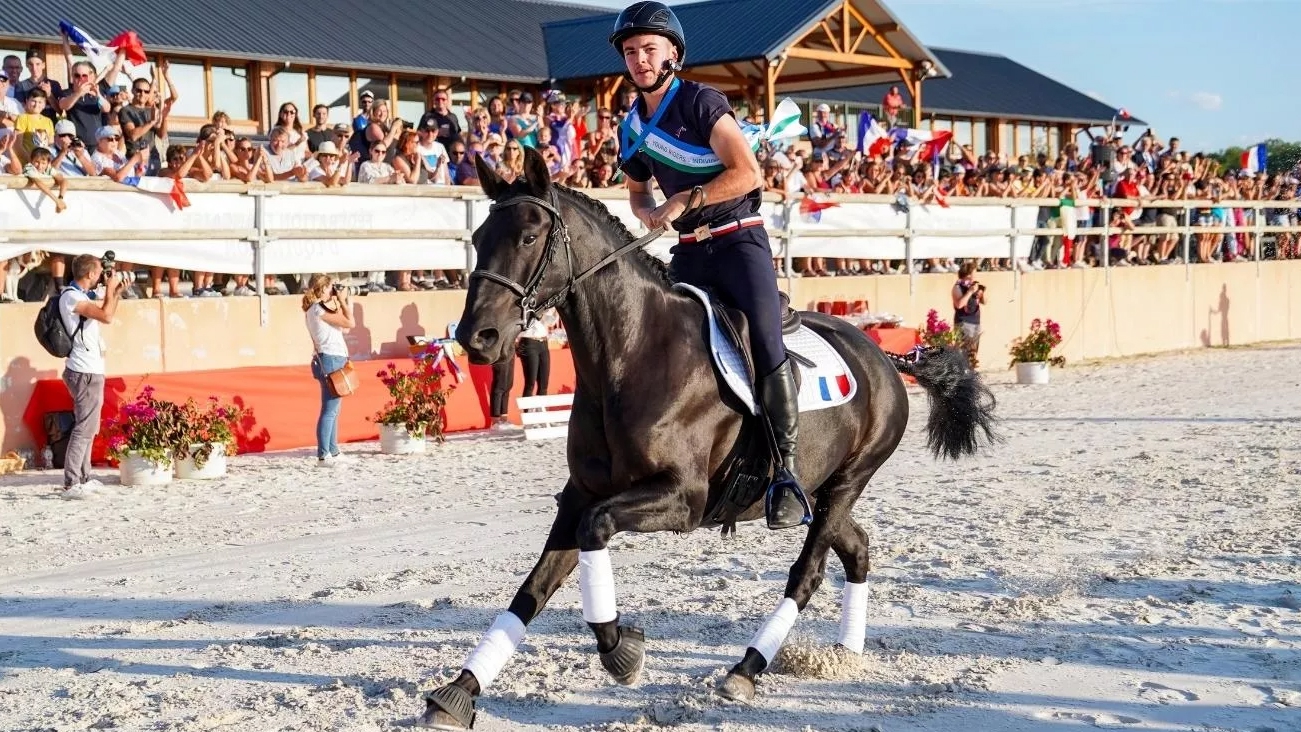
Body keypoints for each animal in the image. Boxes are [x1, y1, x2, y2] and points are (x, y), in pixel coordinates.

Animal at [416, 146, 993, 728]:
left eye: (530, 236)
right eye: (478, 236)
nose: (477, 337)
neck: (631, 353)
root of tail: (884, 355)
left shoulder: (681, 499)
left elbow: (594, 531)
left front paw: (620, 650)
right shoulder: (581, 494)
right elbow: (534, 586)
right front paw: (460, 691)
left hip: (850, 479)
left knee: (807, 573)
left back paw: (747, 669)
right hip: (825, 490)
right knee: (857, 548)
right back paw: (845, 654)